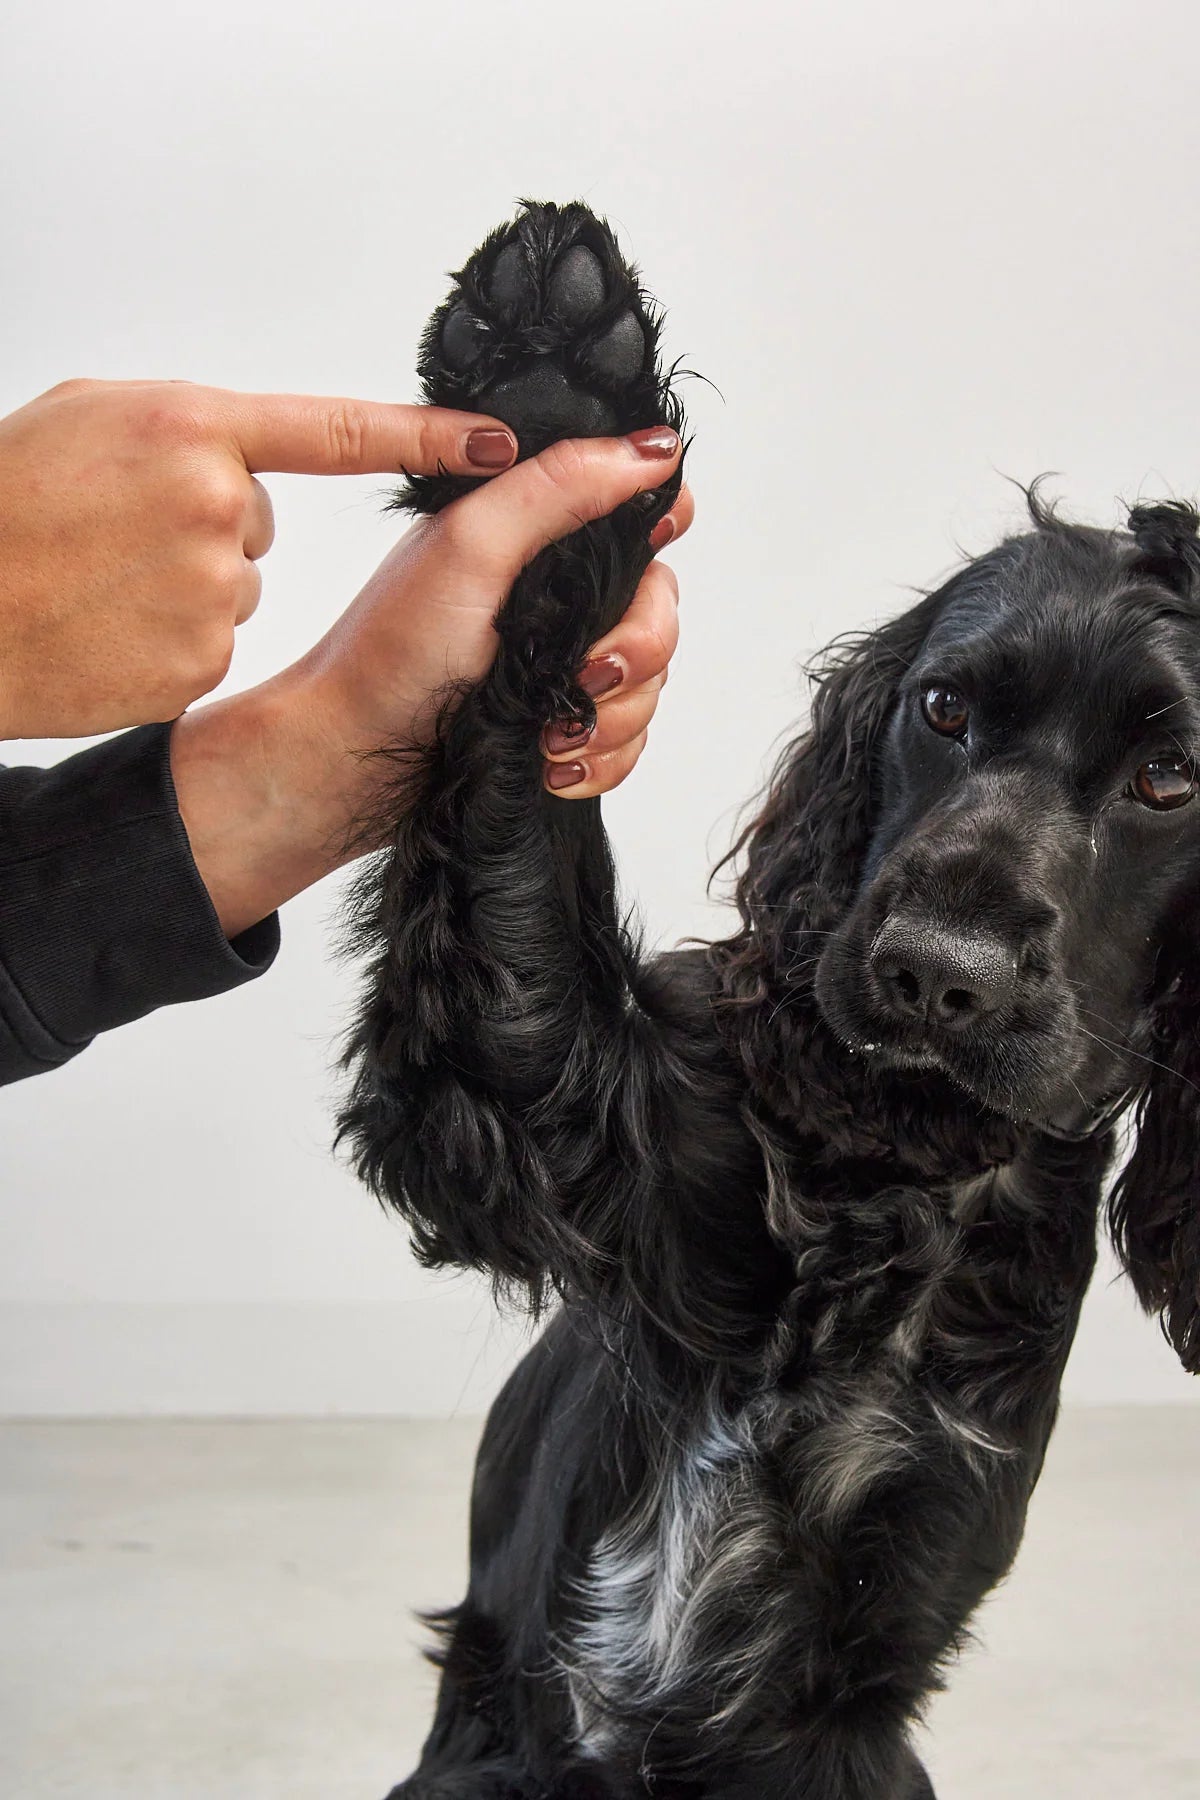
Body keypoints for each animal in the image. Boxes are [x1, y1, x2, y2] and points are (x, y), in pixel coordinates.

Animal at [340, 204, 1200, 1800]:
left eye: (1171, 779)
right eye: (941, 709)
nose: (935, 972)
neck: (903, 1181)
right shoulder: (581, 1117)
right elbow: (517, 778)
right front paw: (554, 369)